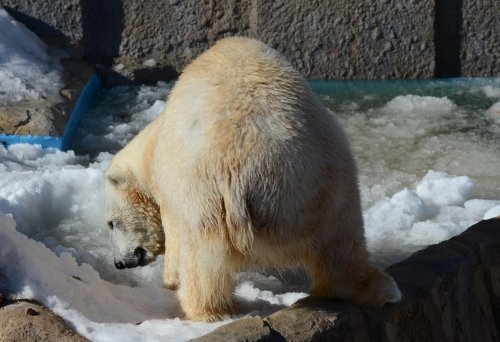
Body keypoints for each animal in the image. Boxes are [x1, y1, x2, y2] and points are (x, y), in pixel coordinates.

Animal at [106, 36, 402, 322]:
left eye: (111, 223)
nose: (118, 263)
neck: (153, 142)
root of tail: (240, 172)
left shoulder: (169, 189)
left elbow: (176, 242)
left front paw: (169, 281)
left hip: (202, 196)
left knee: (200, 259)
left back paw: (207, 311)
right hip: (321, 185)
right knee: (342, 240)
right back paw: (380, 289)